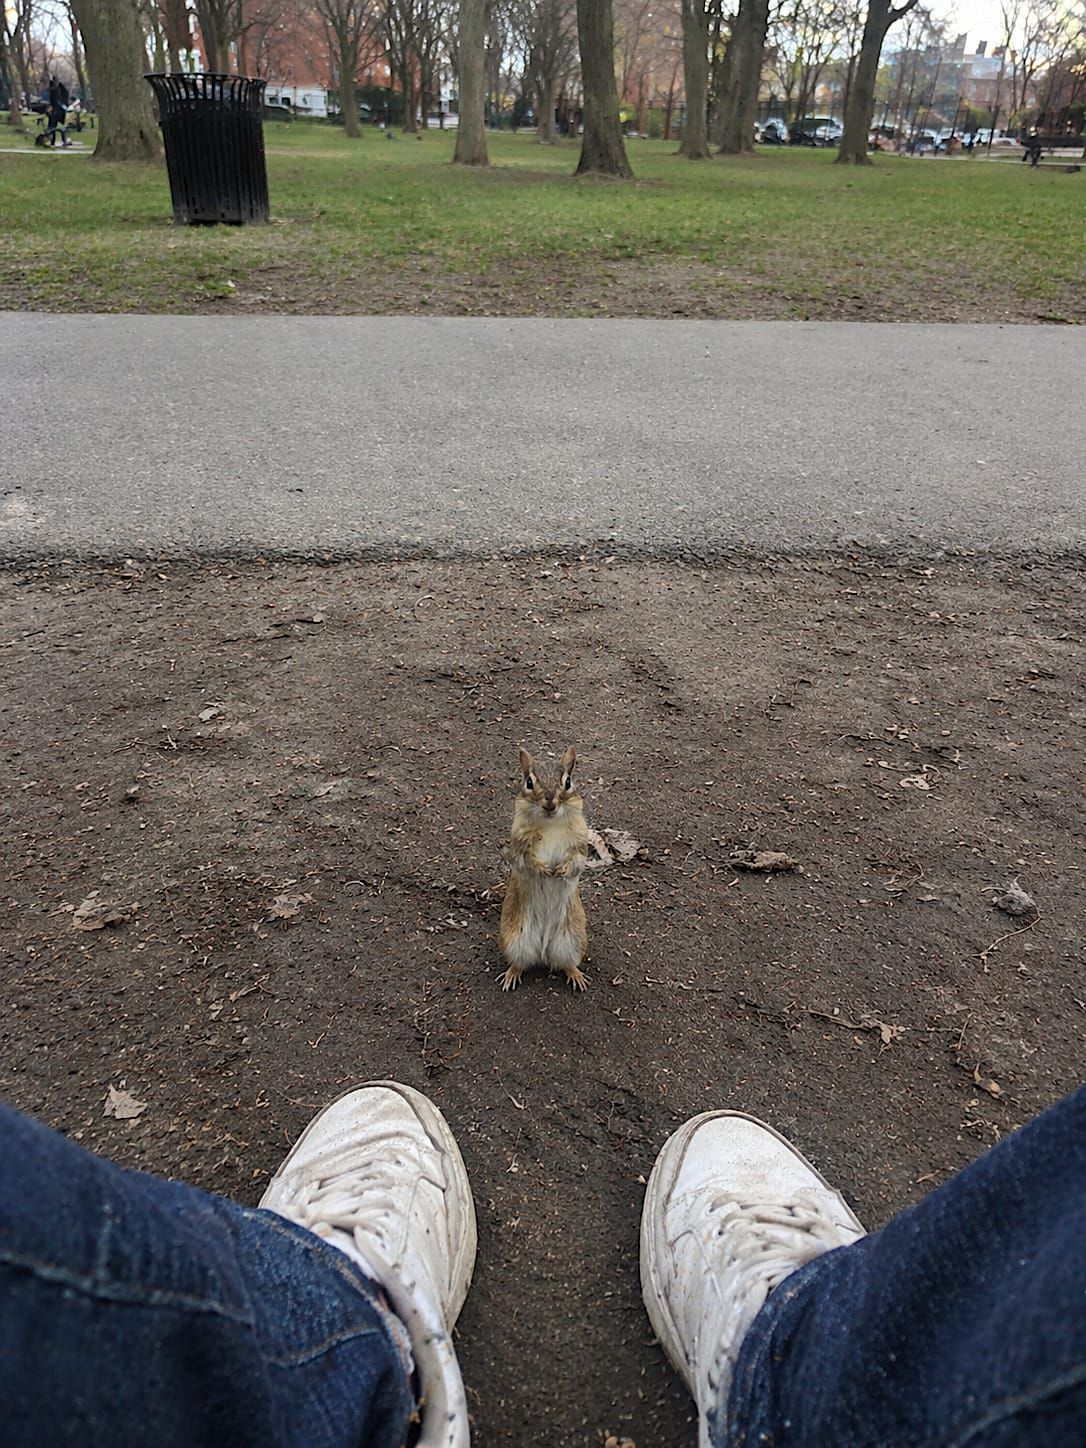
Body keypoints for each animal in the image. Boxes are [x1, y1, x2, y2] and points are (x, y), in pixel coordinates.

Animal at [498, 746, 589, 991]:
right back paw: (511, 974)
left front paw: (562, 870)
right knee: (520, 962)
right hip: (514, 940)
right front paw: (543, 870)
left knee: (565, 963)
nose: (550, 802)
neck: (551, 824)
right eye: (529, 782)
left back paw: (576, 975)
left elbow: (576, 862)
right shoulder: (518, 847)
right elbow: (527, 862)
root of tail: (543, 950)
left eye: (568, 782)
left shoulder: (580, 845)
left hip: (573, 941)